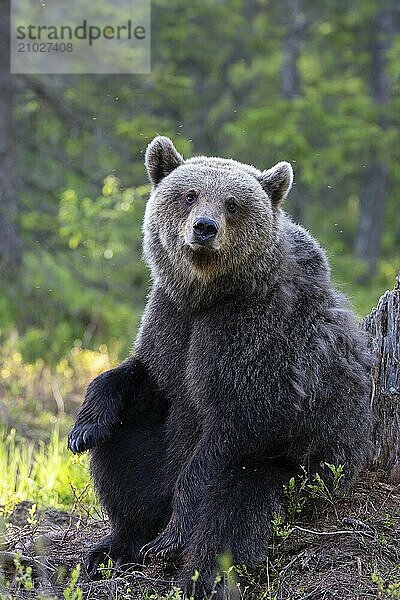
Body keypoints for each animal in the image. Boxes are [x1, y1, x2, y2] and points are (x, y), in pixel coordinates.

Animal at [69, 137, 372, 600]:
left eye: (232, 203)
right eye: (189, 194)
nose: (204, 228)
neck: (210, 294)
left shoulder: (256, 333)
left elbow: (239, 421)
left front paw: (175, 535)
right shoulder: (171, 318)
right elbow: (146, 375)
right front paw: (84, 426)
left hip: (301, 469)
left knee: (231, 511)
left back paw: (193, 569)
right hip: (155, 455)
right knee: (123, 458)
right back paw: (115, 546)